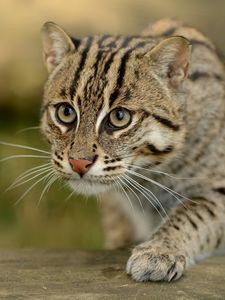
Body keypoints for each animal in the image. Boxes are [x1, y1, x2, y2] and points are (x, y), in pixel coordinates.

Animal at [40, 18, 225, 282]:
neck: (151, 174)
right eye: (66, 112)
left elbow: (194, 212)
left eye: (120, 117)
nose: (78, 163)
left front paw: (158, 251)